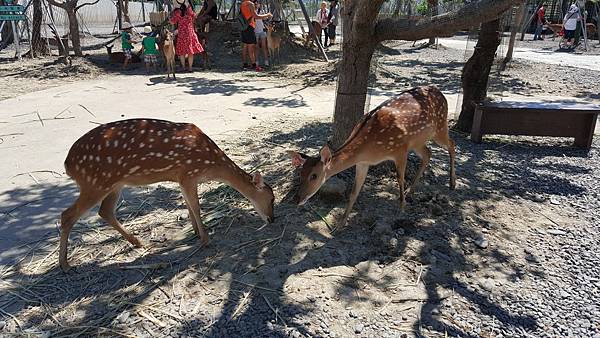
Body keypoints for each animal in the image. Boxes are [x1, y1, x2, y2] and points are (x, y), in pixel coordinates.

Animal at [58, 119, 274, 272]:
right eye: (271, 198)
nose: (272, 219)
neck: (211, 164)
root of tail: (68, 164)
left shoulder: (182, 178)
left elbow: (188, 205)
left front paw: (196, 232)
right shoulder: (189, 173)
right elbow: (196, 206)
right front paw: (206, 239)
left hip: (114, 184)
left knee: (105, 211)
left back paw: (137, 241)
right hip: (95, 182)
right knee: (67, 214)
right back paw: (65, 265)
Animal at [288, 85, 458, 227]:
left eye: (314, 176)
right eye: (300, 173)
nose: (296, 199)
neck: (370, 148)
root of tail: (439, 92)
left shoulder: (400, 149)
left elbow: (400, 178)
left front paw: (401, 208)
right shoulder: (363, 163)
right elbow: (354, 192)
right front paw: (340, 224)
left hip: (440, 127)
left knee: (452, 144)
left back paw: (452, 183)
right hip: (418, 141)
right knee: (428, 153)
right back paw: (411, 190)